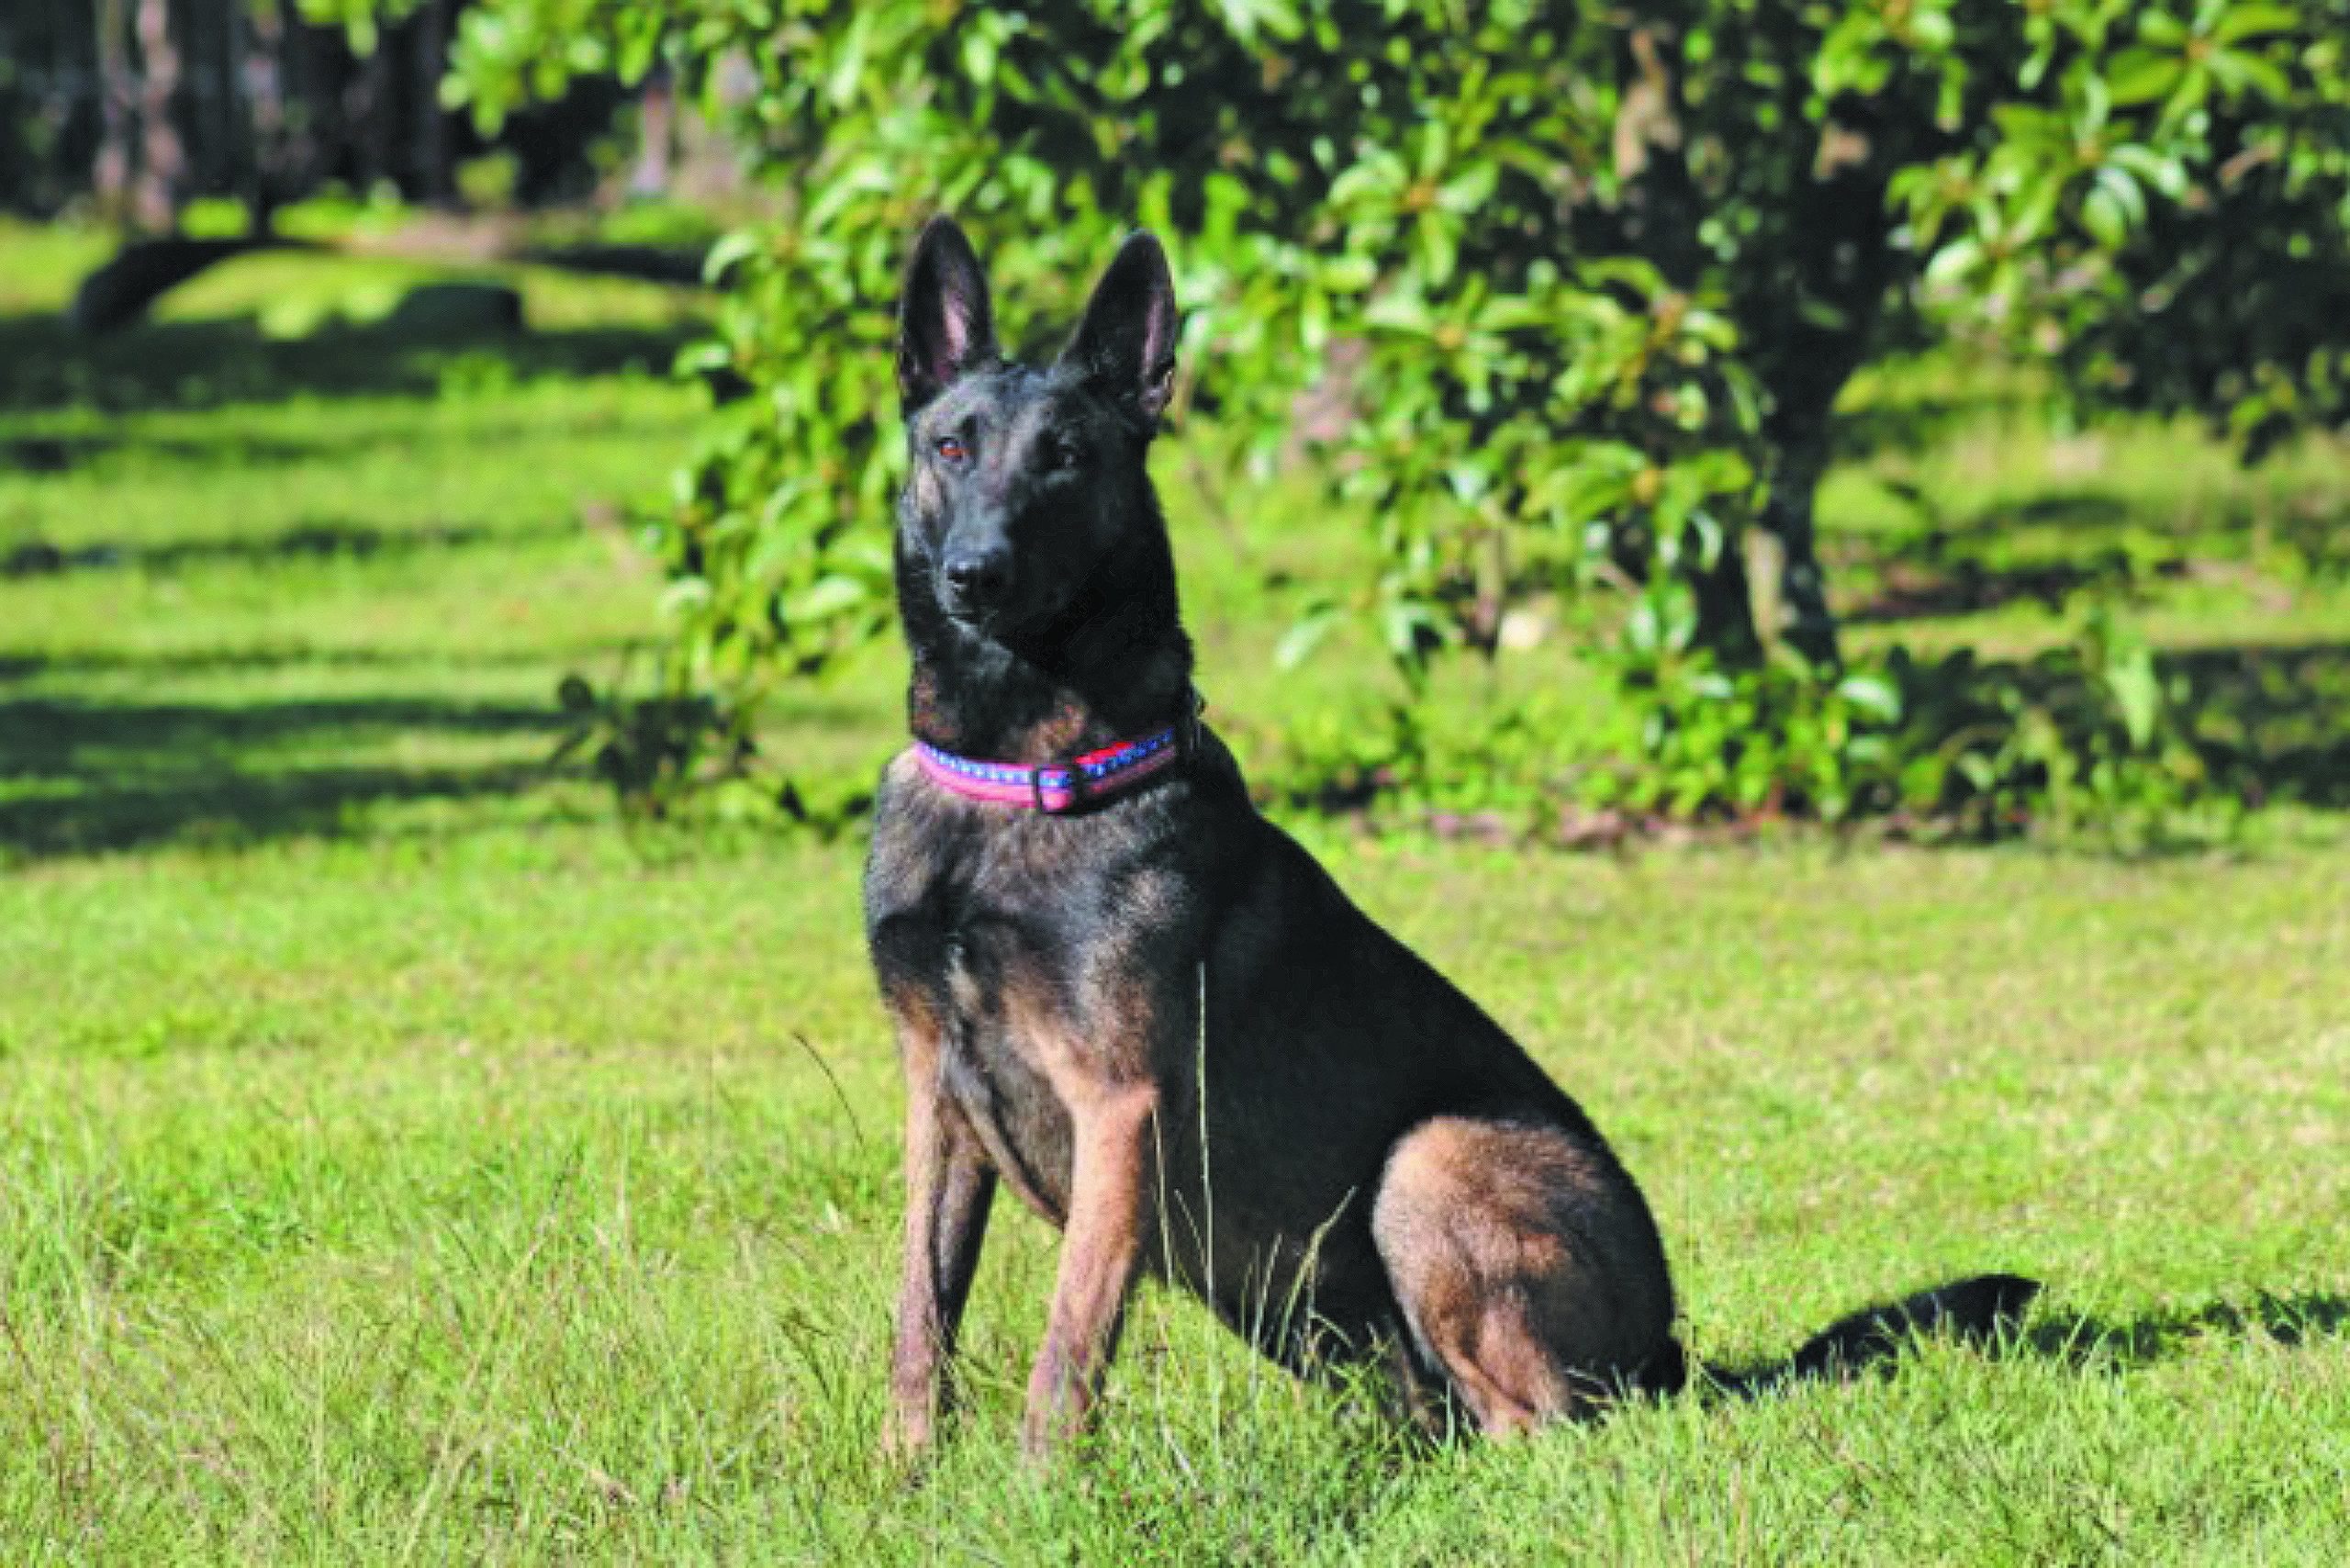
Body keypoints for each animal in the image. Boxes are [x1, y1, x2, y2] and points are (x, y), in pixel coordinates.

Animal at [865, 215, 2040, 1466]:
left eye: (1067, 458)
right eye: (951, 447)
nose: (975, 574)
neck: (1015, 777)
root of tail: (1672, 1355)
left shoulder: (1118, 1107)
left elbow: (1066, 1348)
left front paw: (1038, 1490)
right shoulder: (936, 1100)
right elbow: (919, 1316)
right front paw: (906, 1477)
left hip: (1427, 1163)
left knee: (1545, 1425)